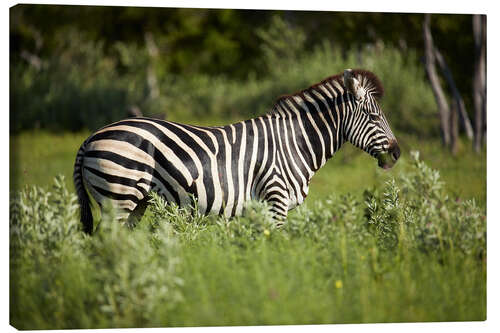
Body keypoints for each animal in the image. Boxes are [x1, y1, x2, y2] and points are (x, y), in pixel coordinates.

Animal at [73, 67, 398, 233]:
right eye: (373, 117)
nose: (396, 153)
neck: (294, 143)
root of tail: (91, 137)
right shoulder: (275, 199)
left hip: (135, 203)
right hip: (118, 196)